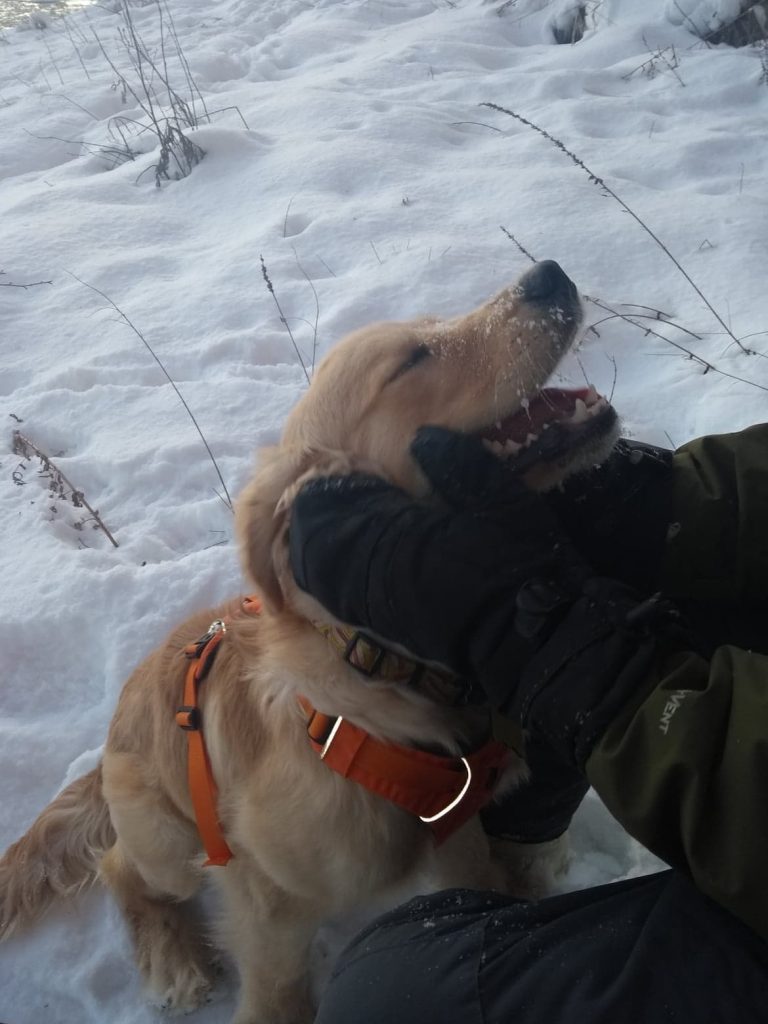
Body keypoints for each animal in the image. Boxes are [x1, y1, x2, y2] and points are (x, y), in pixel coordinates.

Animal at [0, 259, 618, 1024]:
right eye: (412, 358)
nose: (549, 272)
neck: (382, 683)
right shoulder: (265, 901)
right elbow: (280, 995)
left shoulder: (457, 838)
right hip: (171, 841)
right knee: (121, 866)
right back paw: (175, 958)